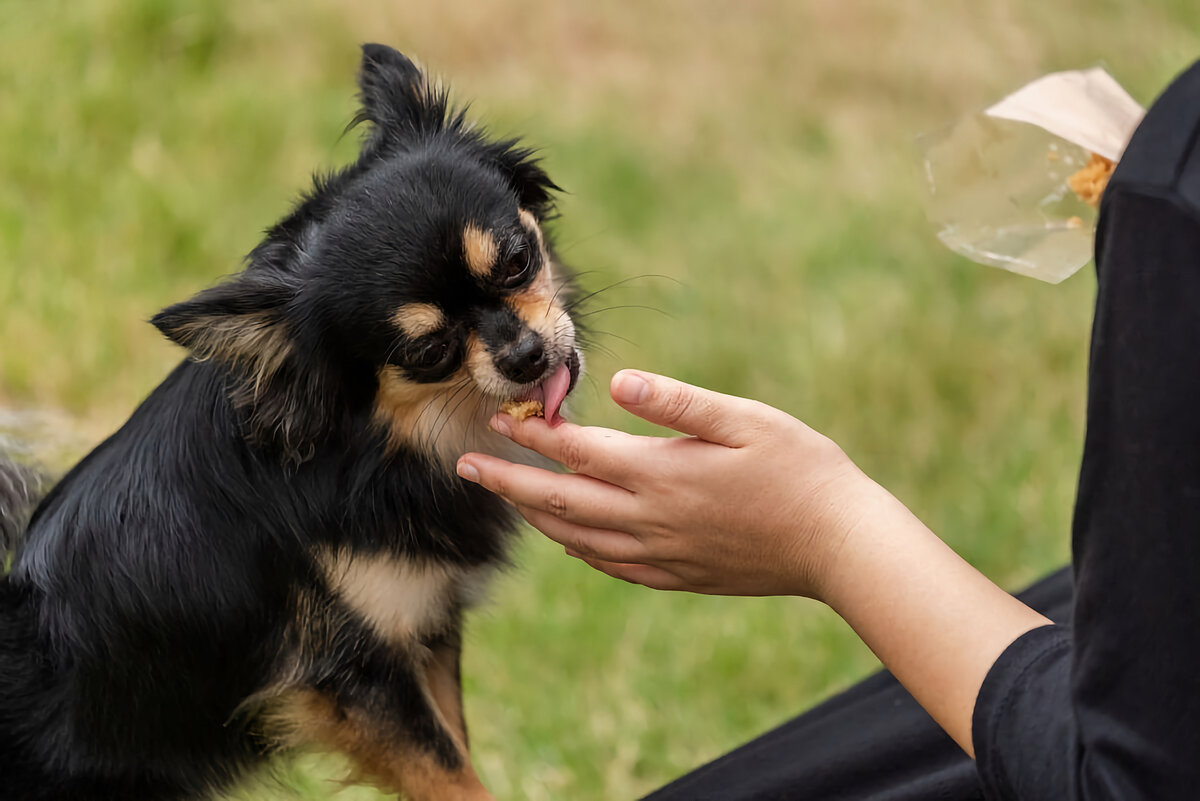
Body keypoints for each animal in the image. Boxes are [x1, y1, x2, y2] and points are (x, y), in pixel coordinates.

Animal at [0, 45, 580, 801]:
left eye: (517, 259)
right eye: (427, 353)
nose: (525, 354)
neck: (382, 446)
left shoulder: (424, 636)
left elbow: (457, 748)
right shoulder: (353, 679)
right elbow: (454, 776)